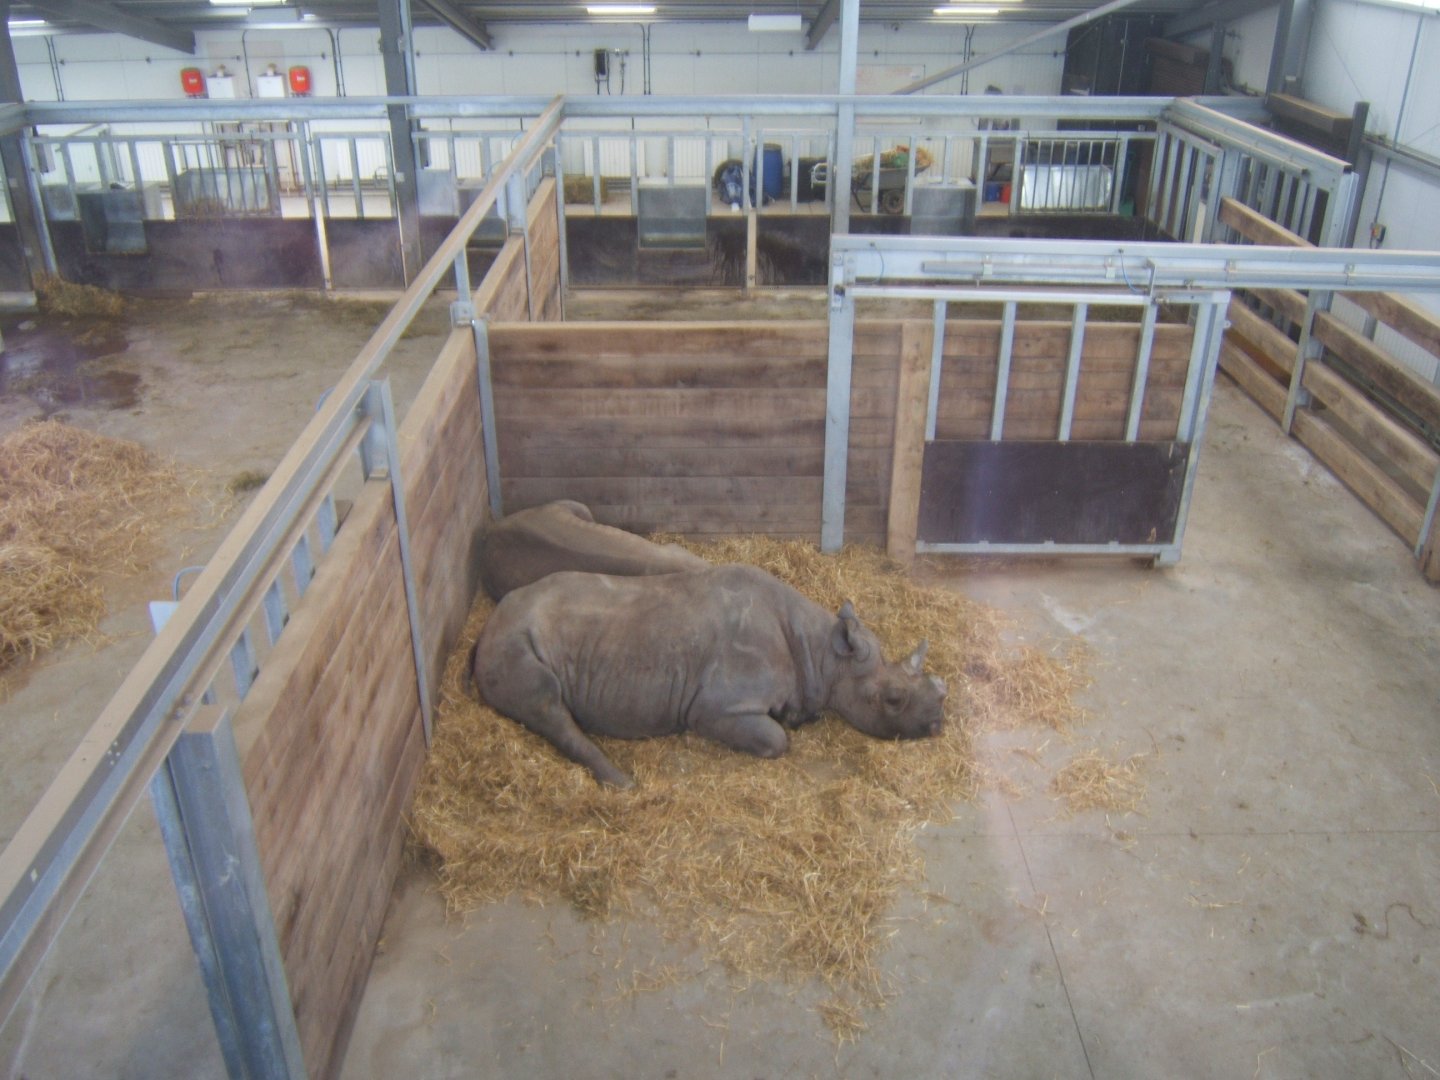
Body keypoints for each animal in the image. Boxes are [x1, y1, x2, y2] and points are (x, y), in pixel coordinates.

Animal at [472, 563, 947, 788]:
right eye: (892, 699)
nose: (938, 725)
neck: (825, 654)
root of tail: (487, 627)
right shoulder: (717, 708)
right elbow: (776, 741)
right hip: (515, 641)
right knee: (546, 701)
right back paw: (623, 783)